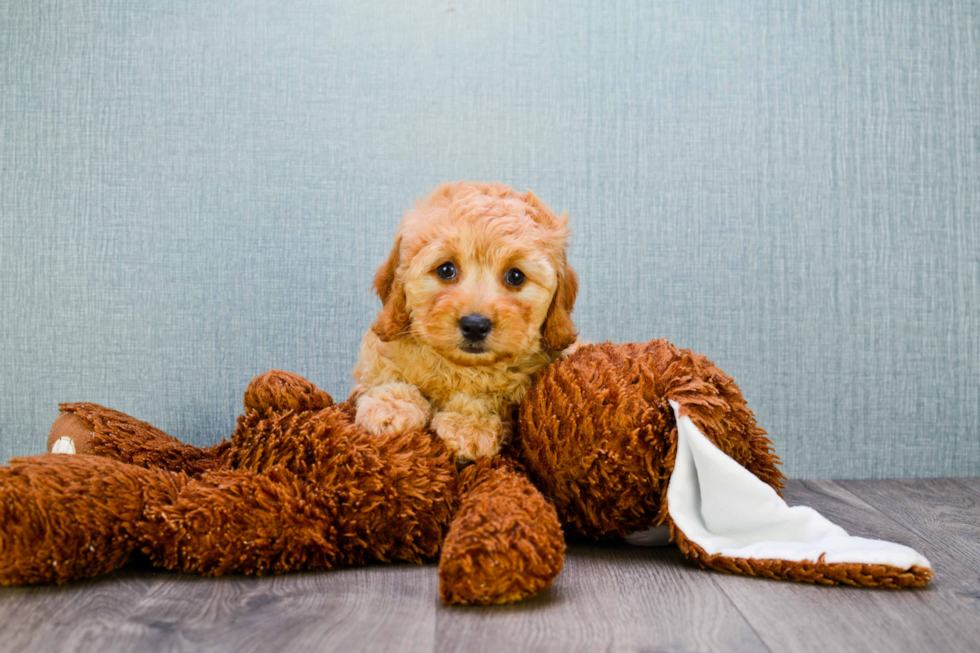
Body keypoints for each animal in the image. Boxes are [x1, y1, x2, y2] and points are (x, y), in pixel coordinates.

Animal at [352, 181, 580, 460]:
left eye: (515, 276)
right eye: (445, 270)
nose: (474, 325)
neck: (458, 366)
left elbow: (485, 396)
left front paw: (469, 427)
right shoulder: (378, 354)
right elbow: (386, 374)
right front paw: (391, 408)